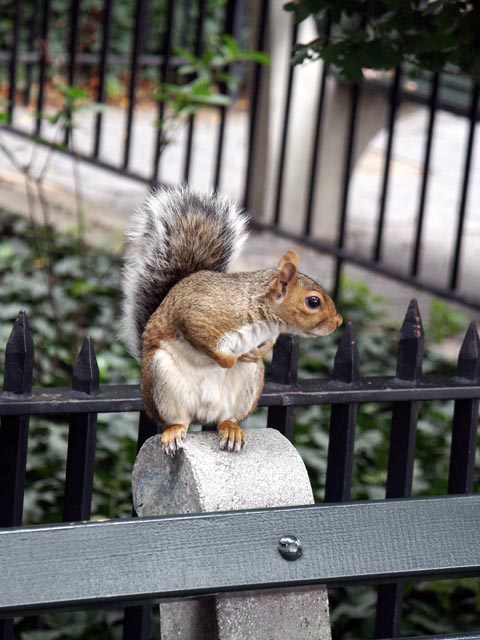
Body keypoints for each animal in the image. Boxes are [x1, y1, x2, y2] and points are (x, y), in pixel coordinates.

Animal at [122, 185, 344, 456]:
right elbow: (202, 337)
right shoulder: (201, 315)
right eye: (313, 302)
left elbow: (261, 349)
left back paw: (230, 429)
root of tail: (203, 412)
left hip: (248, 387)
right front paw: (229, 359)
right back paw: (175, 430)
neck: (260, 313)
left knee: (226, 418)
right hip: (161, 378)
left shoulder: (267, 337)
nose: (339, 321)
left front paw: (253, 354)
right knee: (177, 420)